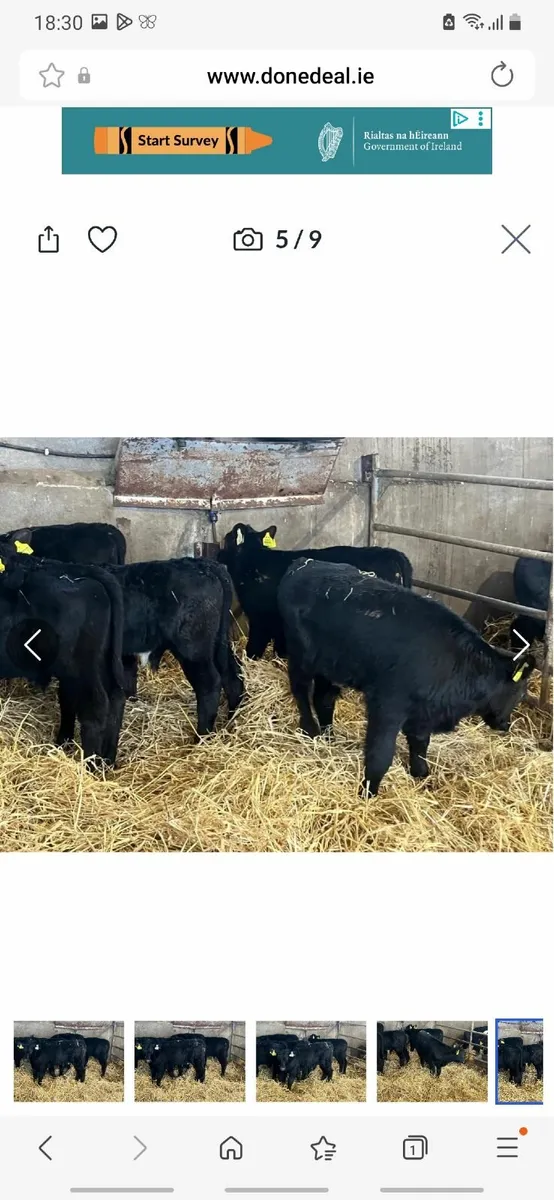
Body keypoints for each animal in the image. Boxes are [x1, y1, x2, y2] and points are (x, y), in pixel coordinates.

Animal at [0, 548, 126, 764]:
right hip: (98, 661)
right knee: (112, 697)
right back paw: (104, 759)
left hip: (81, 666)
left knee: (95, 707)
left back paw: (89, 765)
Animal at [278, 559, 535, 795]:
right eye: (521, 694)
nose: (505, 725)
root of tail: (304, 563)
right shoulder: (387, 705)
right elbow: (381, 754)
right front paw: (368, 792)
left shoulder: (423, 712)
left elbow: (420, 743)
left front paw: (421, 774)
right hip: (300, 657)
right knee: (301, 691)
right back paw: (310, 730)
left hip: (330, 666)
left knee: (324, 699)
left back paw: (329, 736)